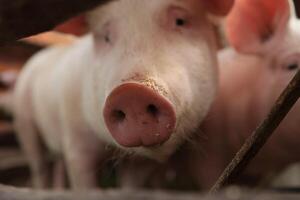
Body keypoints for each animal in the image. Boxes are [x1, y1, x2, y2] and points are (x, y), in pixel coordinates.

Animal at [11, 0, 234, 189]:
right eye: (105, 36)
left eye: (180, 20)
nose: (133, 93)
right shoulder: (75, 140)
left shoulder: (139, 163)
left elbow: (131, 185)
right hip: (24, 121)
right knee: (39, 165)